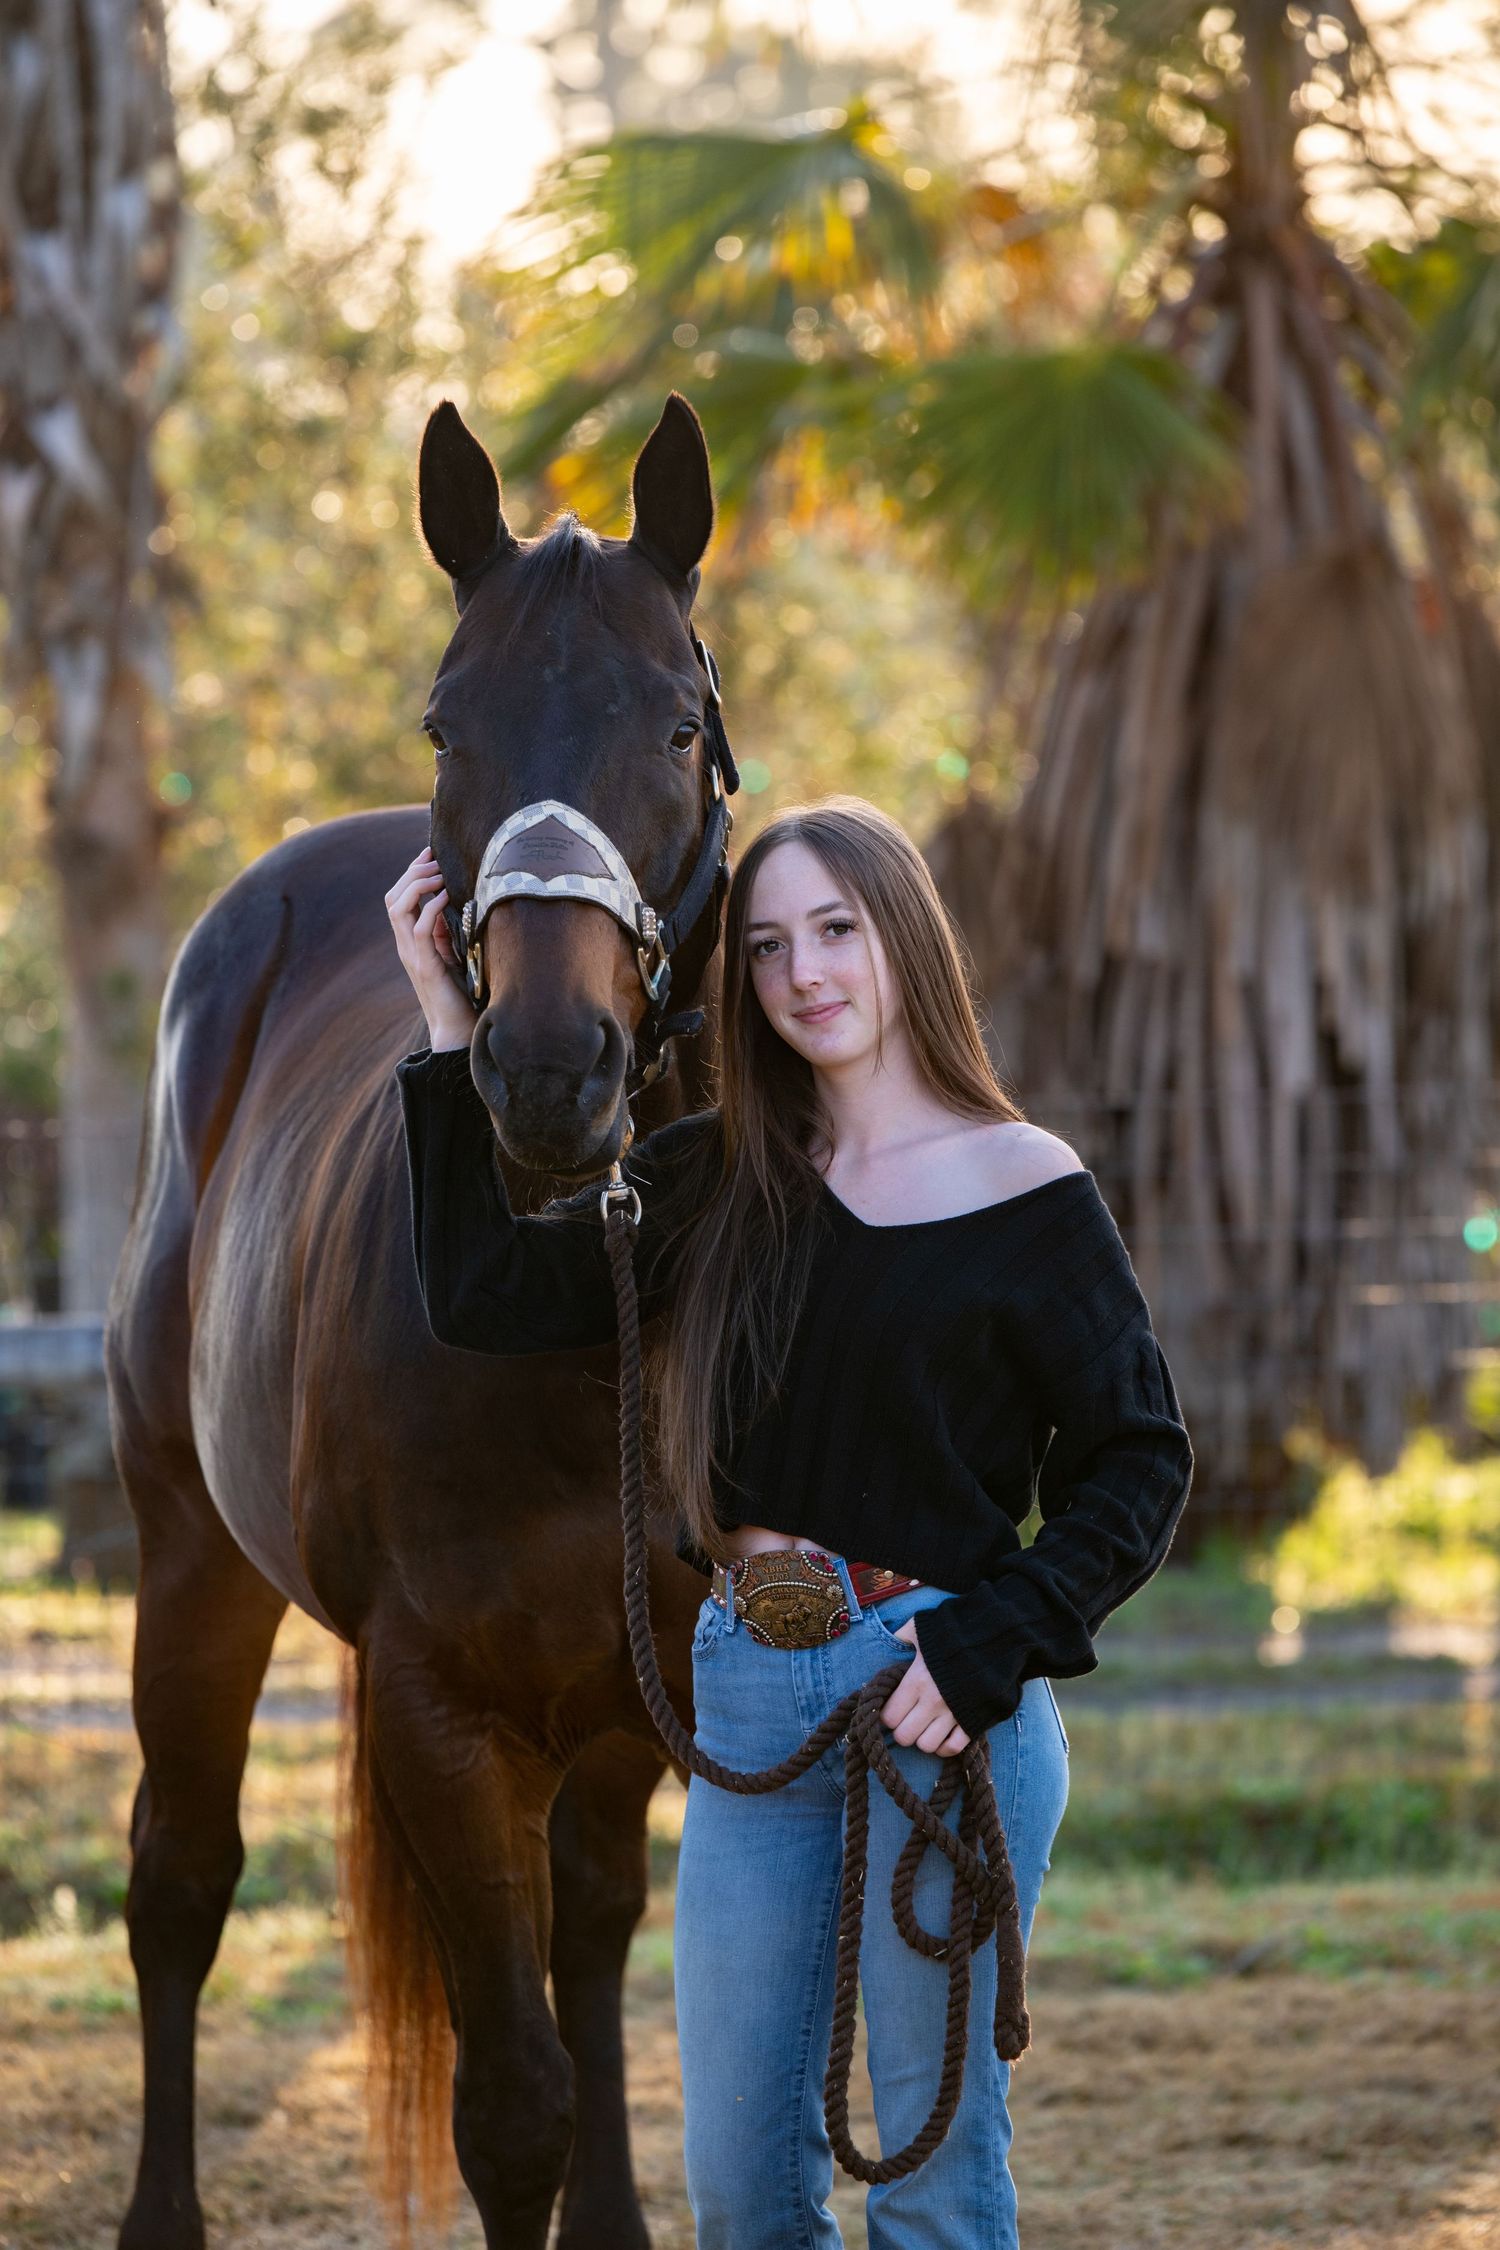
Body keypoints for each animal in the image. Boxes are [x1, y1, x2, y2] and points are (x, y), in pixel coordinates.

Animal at [106, 393, 731, 2250]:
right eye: (452, 723)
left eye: (680, 723)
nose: (545, 1069)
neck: (571, 1329)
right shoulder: (434, 1707)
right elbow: (510, 2105)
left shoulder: (643, 1690)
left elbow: (588, 1969)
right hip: (190, 1554)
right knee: (179, 1881)